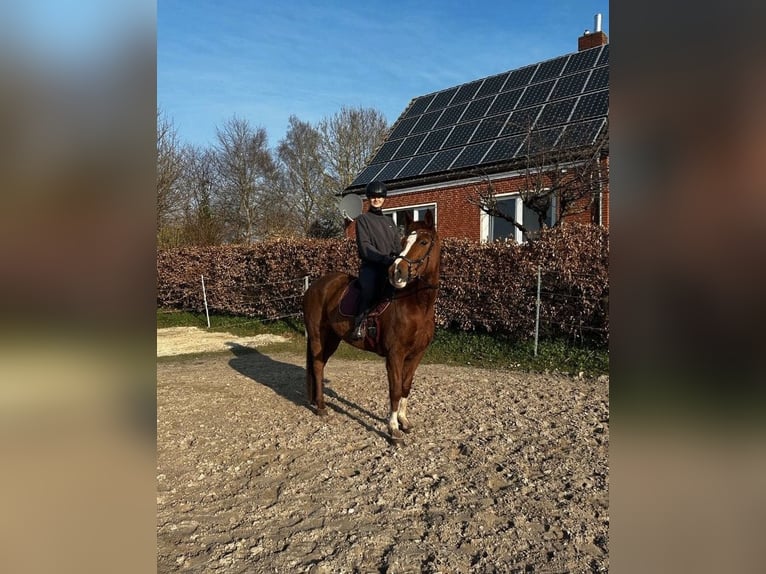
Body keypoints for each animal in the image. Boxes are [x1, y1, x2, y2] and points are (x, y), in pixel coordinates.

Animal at [302, 210, 441, 443]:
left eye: (423, 241)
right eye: (404, 241)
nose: (397, 271)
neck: (415, 305)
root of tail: (315, 285)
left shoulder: (416, 354)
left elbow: (405, 386)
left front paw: (404, 422)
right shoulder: (395, 355)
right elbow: (395, 389)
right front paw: (393, 429)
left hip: (332, 338)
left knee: (319, 365)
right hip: (317, 337)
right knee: (318, 365)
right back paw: (321, 407)